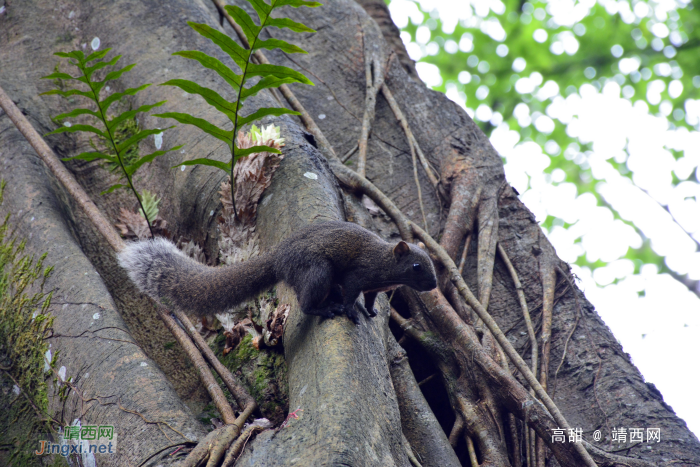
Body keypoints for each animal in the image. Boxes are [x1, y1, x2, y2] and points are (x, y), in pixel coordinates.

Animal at [119, 221, 438, 324]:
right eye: (416, 266)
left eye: (433, 264)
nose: (434, 285)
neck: (386, 265)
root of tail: (278, 258)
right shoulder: (360, 274)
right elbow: (352, 292)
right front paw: (351, 310)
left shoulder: (375, 288)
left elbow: (370, 300)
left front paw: (371, 312)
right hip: (317, 271)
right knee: (306, 304)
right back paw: (326, 309)